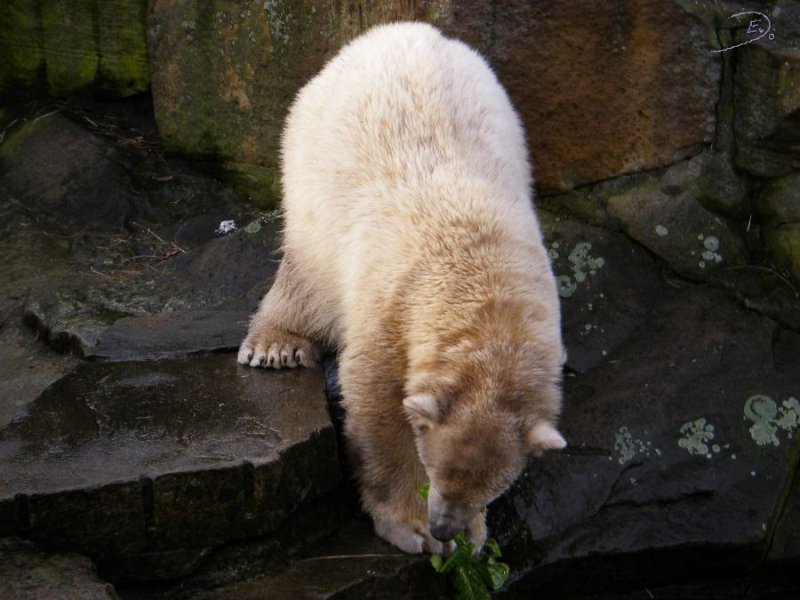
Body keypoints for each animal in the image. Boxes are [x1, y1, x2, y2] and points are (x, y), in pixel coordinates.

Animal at [239, 24, 568, 556]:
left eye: (493, 488)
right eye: (438, 469)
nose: (446, 527)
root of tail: (397, 30)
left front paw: (471, 536)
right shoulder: (393, 301)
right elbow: (375, 398)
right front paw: (411, 527)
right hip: (312, 165)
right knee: (307, 270)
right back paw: (276, 345)